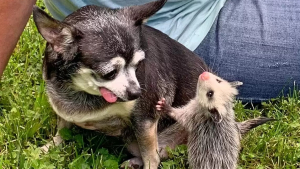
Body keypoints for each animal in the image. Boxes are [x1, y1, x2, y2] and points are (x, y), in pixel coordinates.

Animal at [31, 0, 207, 168]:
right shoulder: (64, 111)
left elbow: (151, 157)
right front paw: (50, 147)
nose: (137, 93)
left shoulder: (145, 120)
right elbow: (62, 129)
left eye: (138, 65)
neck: (80, 91)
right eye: (110, 73)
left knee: (159, 153)